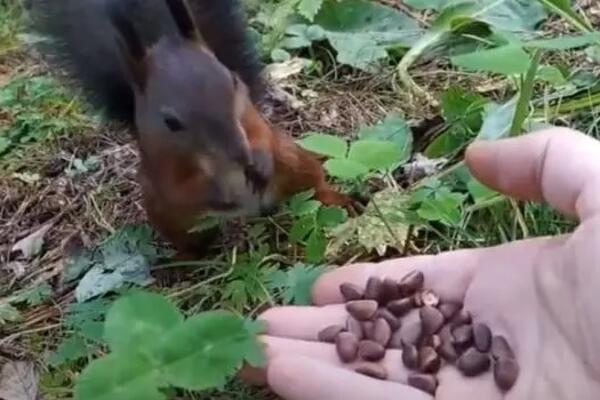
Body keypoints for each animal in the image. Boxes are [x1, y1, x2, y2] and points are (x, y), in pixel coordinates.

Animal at [32, 0, 352, 255]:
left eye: (234, 80)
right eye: (170, 122)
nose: (240, 155)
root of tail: (259, 209)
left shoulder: (249, 118)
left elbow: (261, 134)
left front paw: (260, 161)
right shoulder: (163, 165)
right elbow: (180, 190)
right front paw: (219, 191)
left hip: (292, 159)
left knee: (312, 183)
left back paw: (340, 200)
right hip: (166, 215)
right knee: (188, 242)